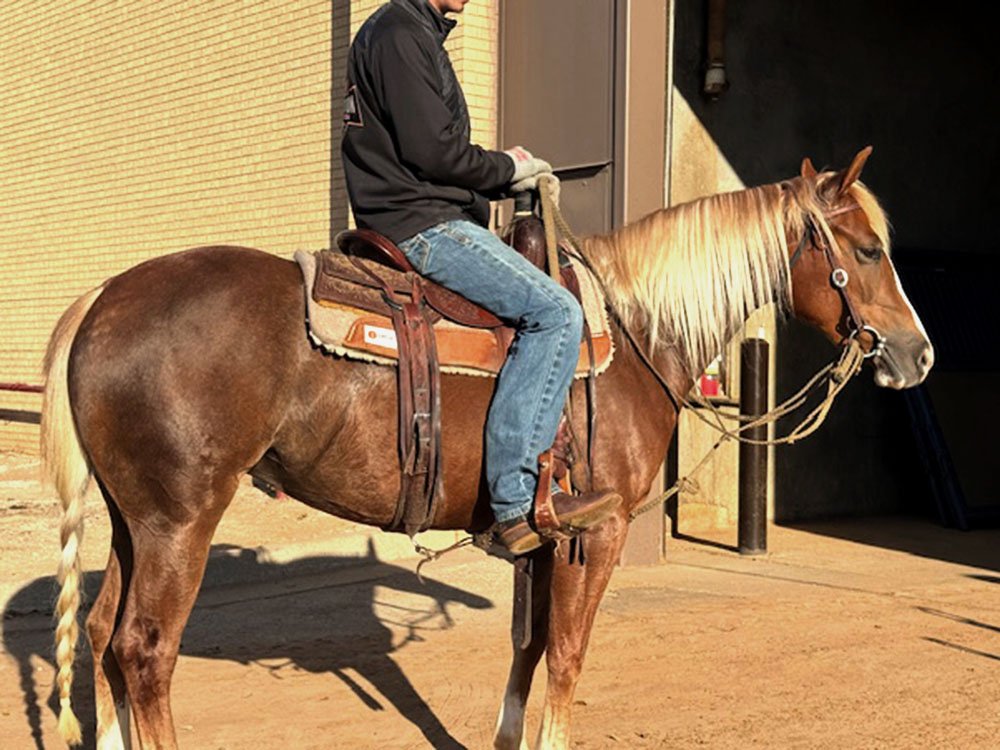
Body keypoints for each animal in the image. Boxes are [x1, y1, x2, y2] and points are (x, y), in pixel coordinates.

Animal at [41, 147, 932, 749]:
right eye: (867, 251)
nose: (918, 354)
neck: (635, 335)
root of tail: (104, 296)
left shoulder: (541, 532)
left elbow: (528, 644)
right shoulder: (596, 534)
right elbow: (567, 654)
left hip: (133, 520)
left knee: (102, 635)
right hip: (181, 519)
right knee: (144, 650)